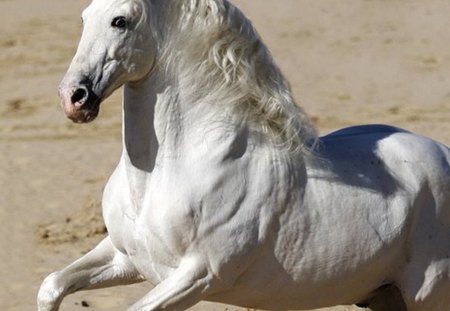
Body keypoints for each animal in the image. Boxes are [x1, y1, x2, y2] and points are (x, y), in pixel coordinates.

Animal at [37, 0, 448, 311]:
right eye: (84, 17)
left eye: (120, 21)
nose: (73, 98)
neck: (163, 177)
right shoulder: (126, 258)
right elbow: (52, 285)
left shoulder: (197, 277)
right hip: (386, 298)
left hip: (428, 299)